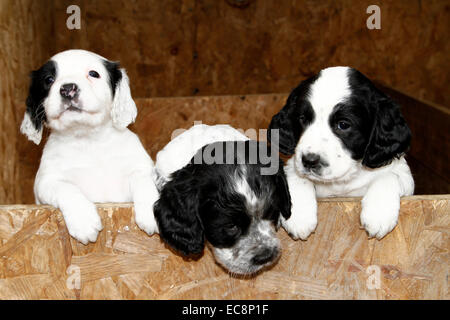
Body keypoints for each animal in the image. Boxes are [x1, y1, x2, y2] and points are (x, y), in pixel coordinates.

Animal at [21, 48, 159, 244]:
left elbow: (143, 180)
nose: (67, 89)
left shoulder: (141, 167)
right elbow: (65, 187)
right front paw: (83, 220)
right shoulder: (45, 181)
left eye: (93, 74)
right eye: (49, 79)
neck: (88, 141)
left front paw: (150, 210)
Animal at [268, 65, 414, 240]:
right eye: (302, 119)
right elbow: (296, 177)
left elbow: (389, 176)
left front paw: (378, 215)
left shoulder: (403, 175)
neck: (342, 181)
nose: (309, 161)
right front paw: (299, 216)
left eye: (343, 125)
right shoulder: (293, 164)